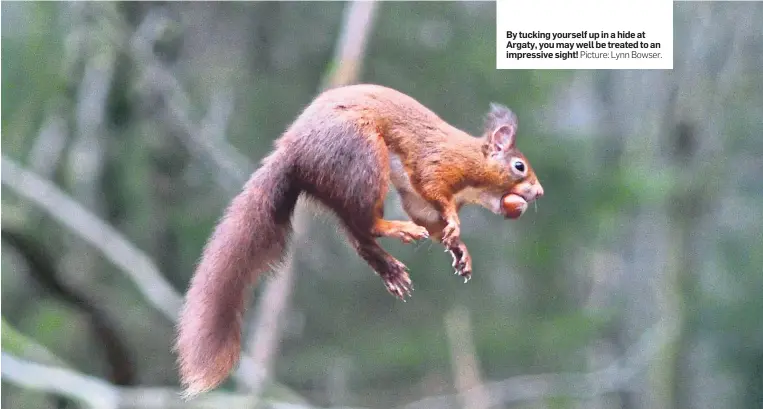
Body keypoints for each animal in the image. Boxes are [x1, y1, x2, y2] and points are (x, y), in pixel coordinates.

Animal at [175, 83, 544, 396]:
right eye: (519, 166)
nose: (539, 192)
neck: (475, 175)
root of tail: (292, 153)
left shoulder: (419, 201)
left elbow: (427, 214)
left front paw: (460, 249)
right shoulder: (438, 163)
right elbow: (434, 189)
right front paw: (453, 222)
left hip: (340, 187)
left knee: (358, 235)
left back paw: (388, 268)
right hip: (364, 159)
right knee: (367, 225)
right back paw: (399, 233)